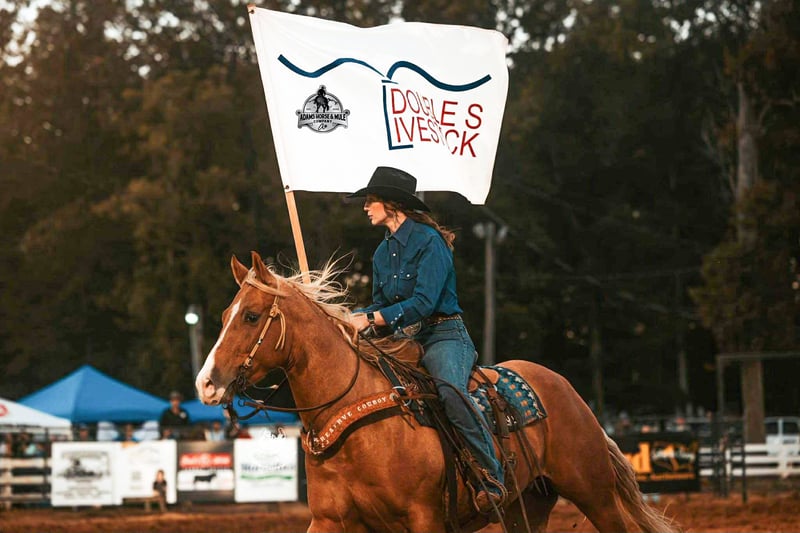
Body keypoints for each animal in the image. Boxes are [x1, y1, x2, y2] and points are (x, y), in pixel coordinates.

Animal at [195, 252, 679, 533]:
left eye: (252, 316)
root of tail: (565, 389)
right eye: (224, 315)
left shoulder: (423, 517)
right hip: (528, 504)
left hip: (594, 493)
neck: (359, 427)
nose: (206, 383)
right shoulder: (329, 520)